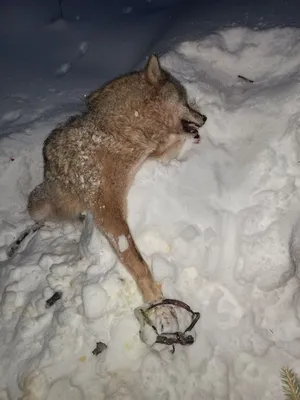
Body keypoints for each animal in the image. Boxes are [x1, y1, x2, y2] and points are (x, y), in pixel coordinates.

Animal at [27, 54, 206, 332]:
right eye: (185, 100)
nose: (204, 118)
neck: (121, 132)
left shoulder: (153, 157)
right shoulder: (107, 210)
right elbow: (138, 263)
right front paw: (160, 308)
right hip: (39, 204)